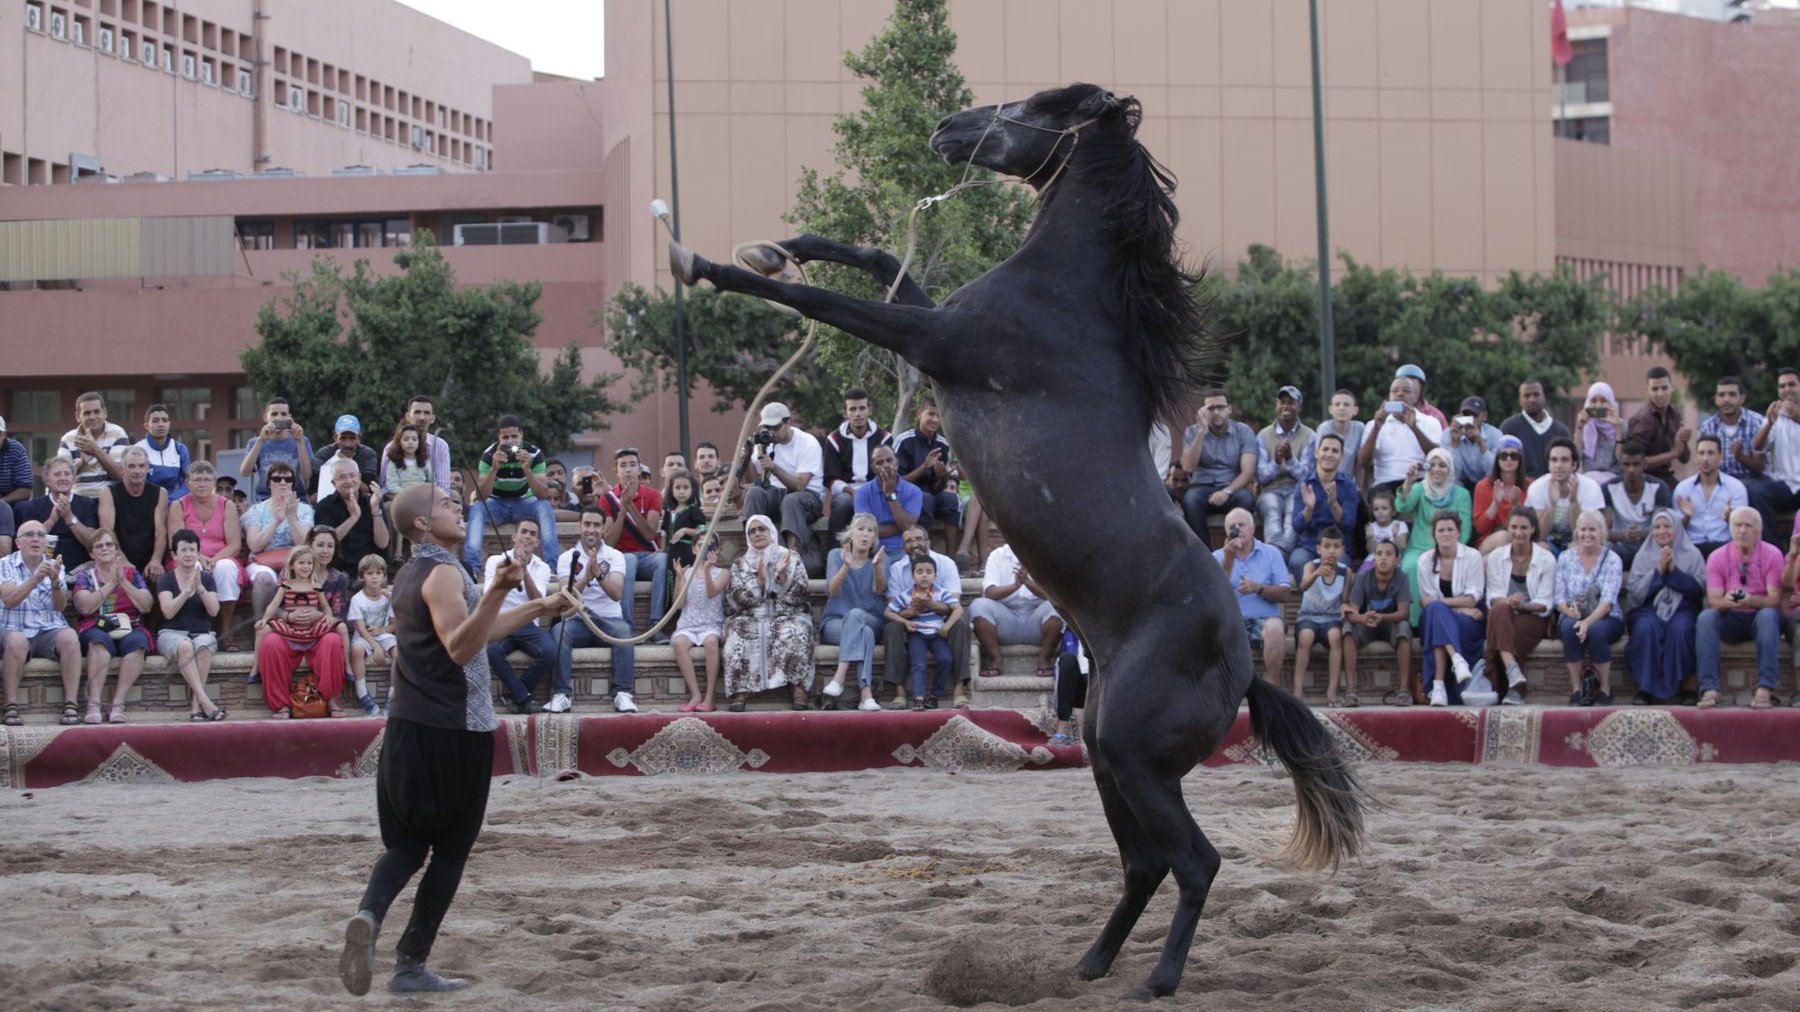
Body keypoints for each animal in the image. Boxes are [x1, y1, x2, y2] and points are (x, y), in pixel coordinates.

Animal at [673, 84, 1360, 993]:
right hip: (1107, 754)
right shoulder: (934, 322)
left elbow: (831, 302)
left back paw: (1157, 979)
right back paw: (1088, 965)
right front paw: (780, 246)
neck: (1065, 298)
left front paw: (706, 264)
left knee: (1196, 862)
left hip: (1137, 757)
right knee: (1145, 863)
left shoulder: (936, 340)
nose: (951, 126)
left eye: (1043, 104)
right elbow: (878, 257)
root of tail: (1246, 666)